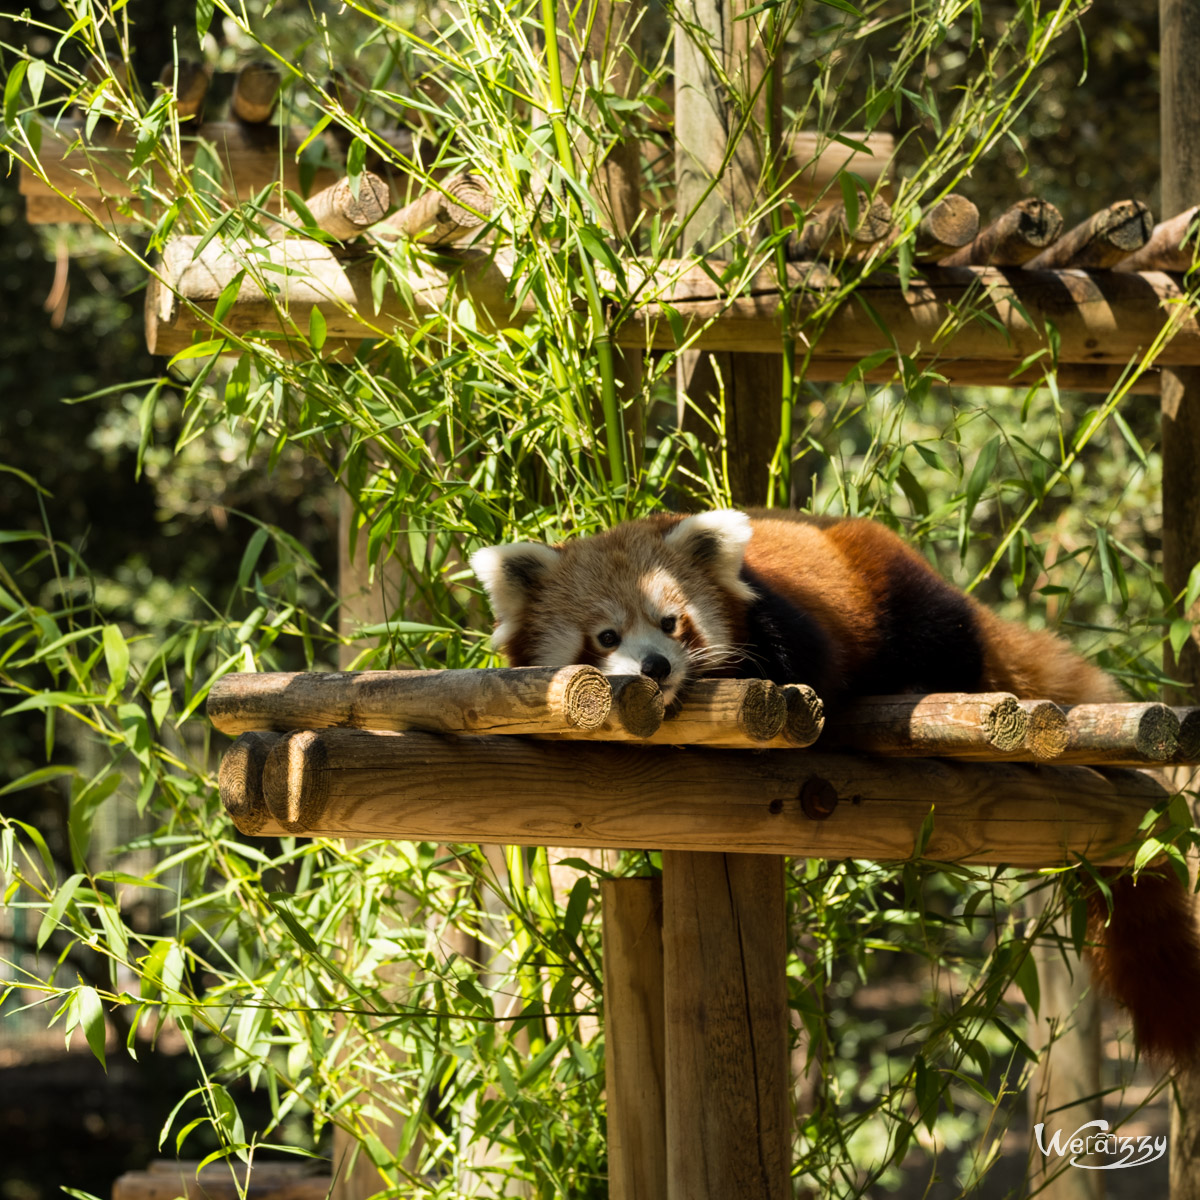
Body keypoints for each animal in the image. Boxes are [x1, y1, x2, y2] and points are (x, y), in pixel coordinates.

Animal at [472, 511, 1200, 1065]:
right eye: (606, 635)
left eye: (672, 621)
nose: (655, 667)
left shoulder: (790, 626)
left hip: (903, 598)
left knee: (943, 641)